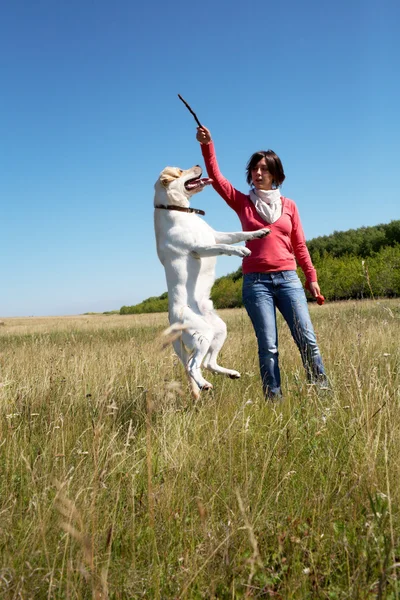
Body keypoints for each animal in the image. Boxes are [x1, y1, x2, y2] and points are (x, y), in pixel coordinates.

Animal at [155, 164, 270, 398]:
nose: (199, 165)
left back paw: (230, 374)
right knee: (192, 365)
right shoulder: (201, 247)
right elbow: (225, 246)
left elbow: (238, 233)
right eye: (180, 171)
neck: (178, 210)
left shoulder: (215, 235)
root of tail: (172, 323)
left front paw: (259, 232)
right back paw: (204, 384)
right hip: (202, 335)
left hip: (219, 329)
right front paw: (241, 250)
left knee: (207, 363)